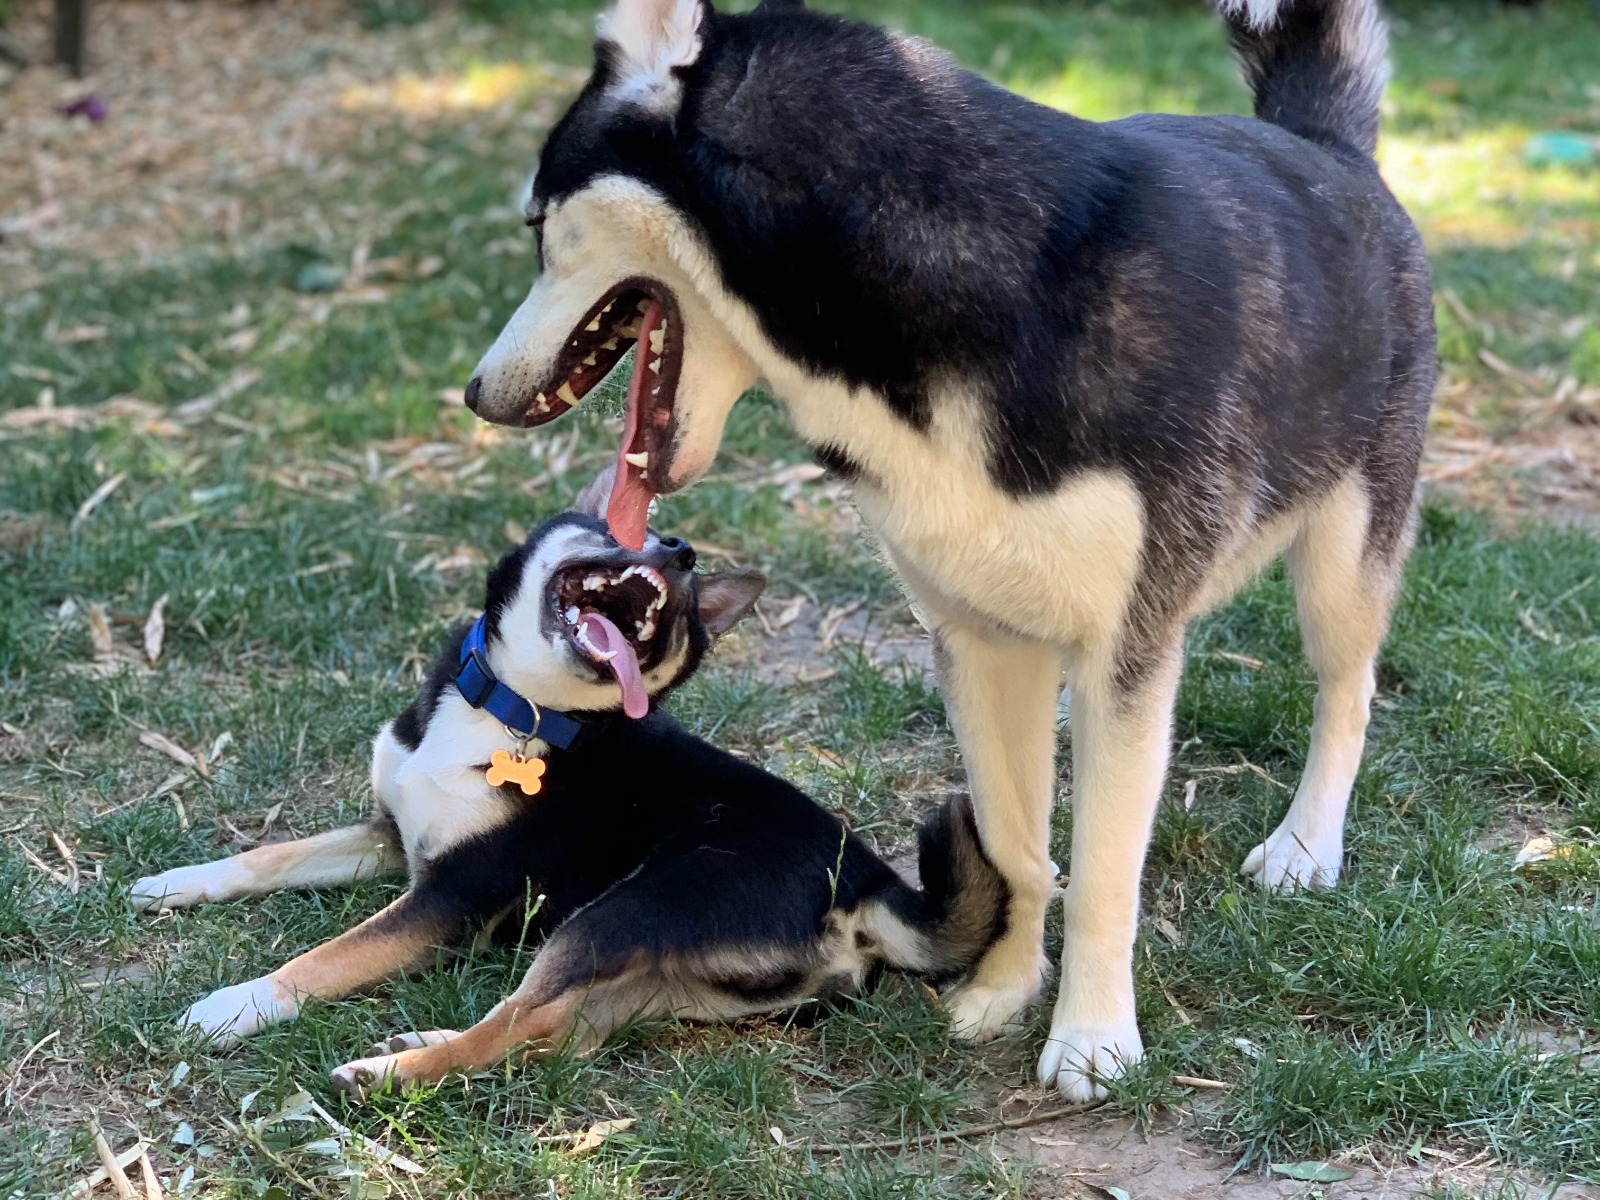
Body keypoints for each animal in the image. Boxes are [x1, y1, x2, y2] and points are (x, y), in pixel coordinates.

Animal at [131, 473, 1004, 1100]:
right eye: (624, 529)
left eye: (688, 602)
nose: (681, 550)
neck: (513, 706)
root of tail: (872, 886)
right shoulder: (392, 834)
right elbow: (271, 856)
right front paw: (173, 881)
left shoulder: (448, 899)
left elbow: (329, 957)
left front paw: (236, 1005)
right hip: (660, 973)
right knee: (554, 1034)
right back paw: (422, 1048)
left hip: (619, 915)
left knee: (512, 1025)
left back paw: (387, 1075)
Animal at [460, 0, 1440, 1100]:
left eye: (538, 225)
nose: (475, 395)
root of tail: (1322, 143)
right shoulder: (980, 639)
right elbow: (1014, 850)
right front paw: (1005, 990)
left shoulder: (1126, 656)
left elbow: (1102, 871)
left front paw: (1093, 1038)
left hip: (1342, 559)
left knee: (1348, 689)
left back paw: (1307, 844)